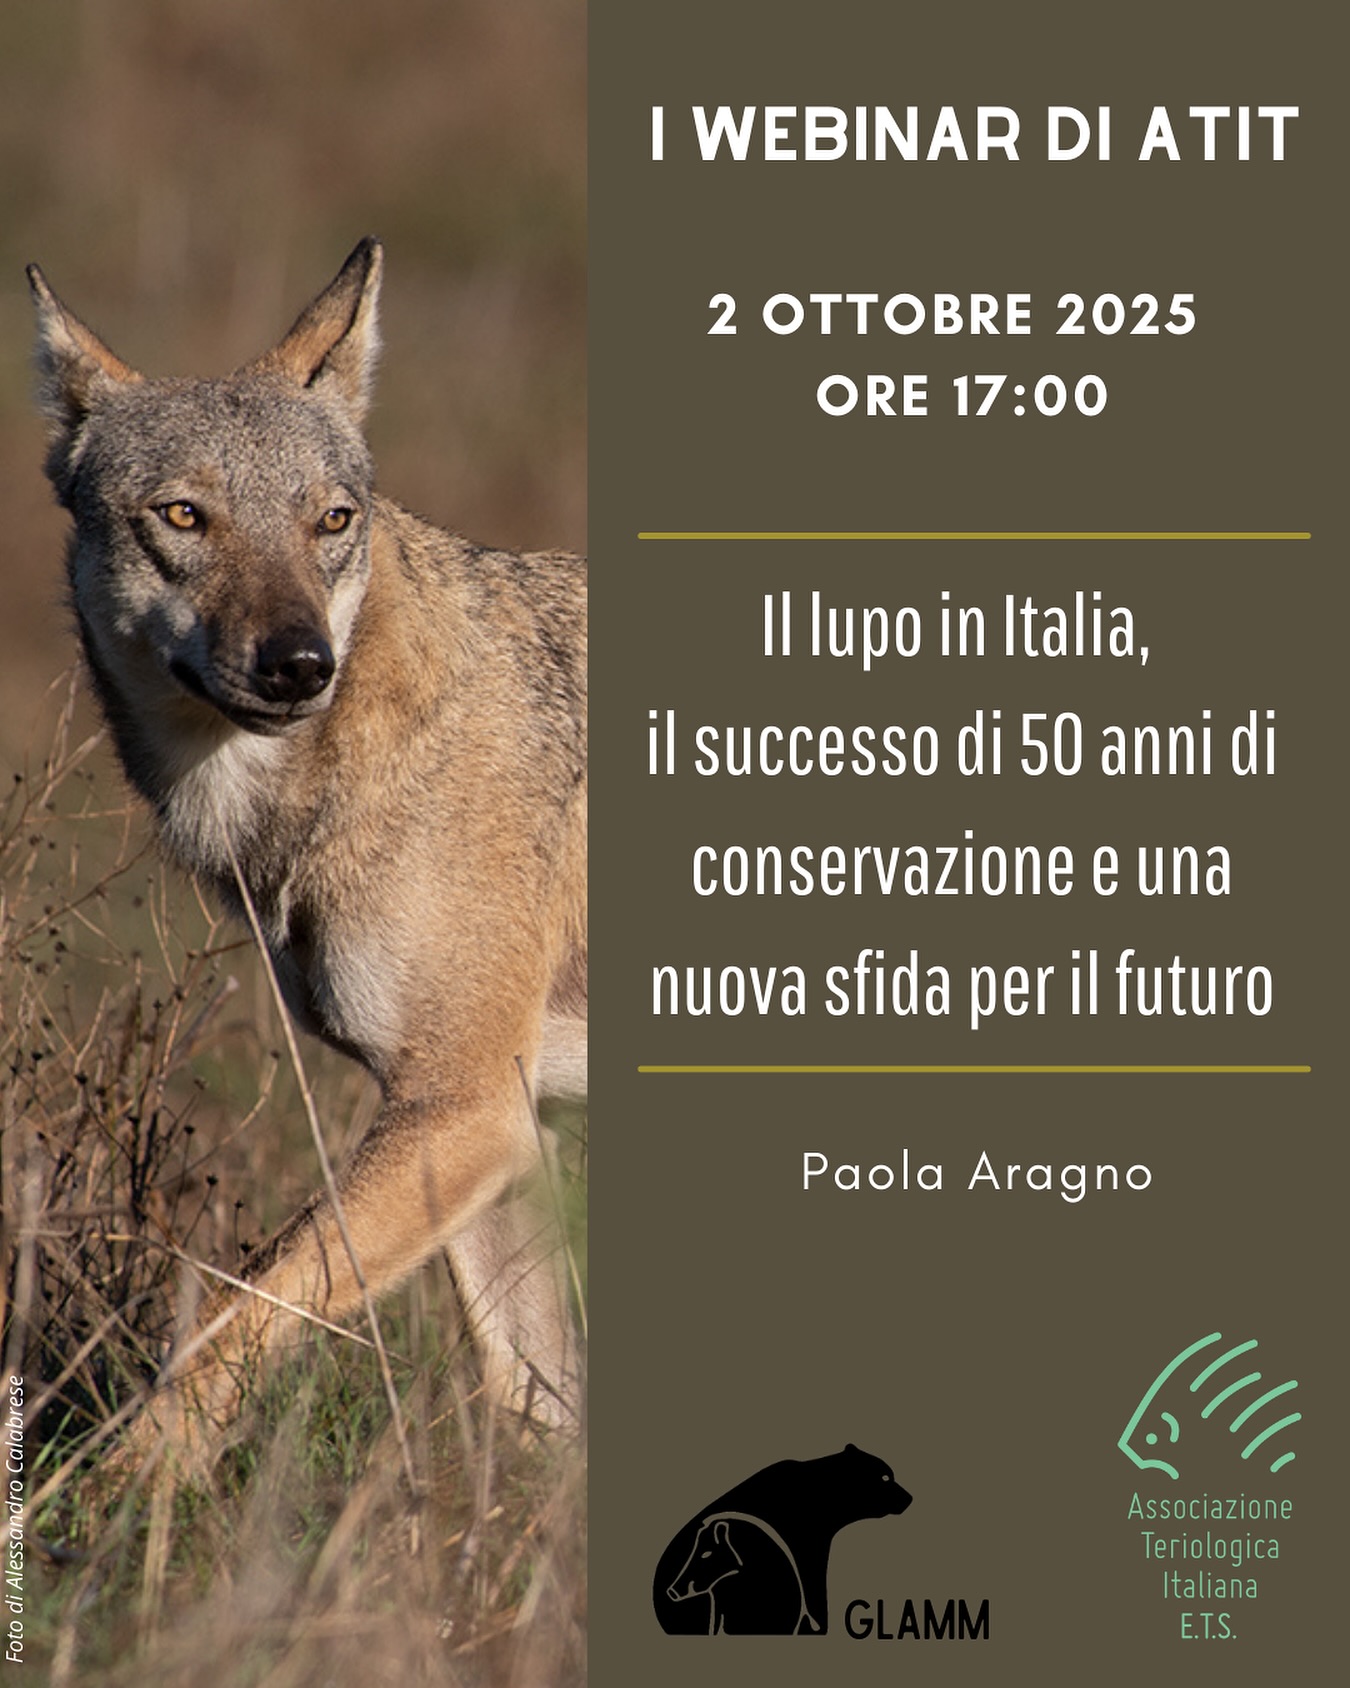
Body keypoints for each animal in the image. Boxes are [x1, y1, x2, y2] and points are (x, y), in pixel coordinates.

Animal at [27, 239, 586, 1468]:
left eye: (330, 520)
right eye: (185, 515)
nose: (298, 663)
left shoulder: (463, 1106)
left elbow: (231, 1325)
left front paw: (110, 1498)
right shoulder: (497, 1129)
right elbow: (544, 1414)